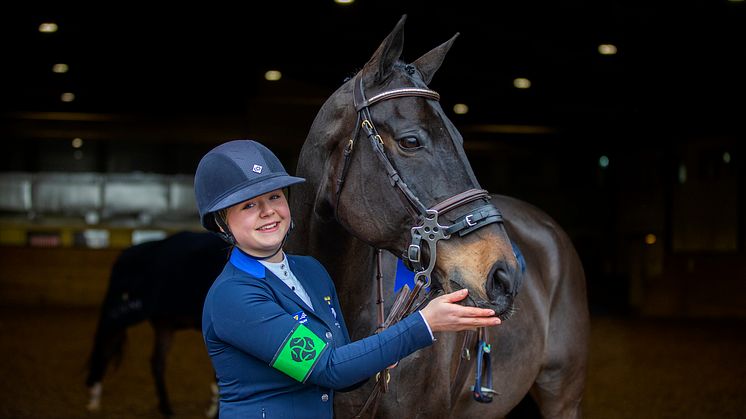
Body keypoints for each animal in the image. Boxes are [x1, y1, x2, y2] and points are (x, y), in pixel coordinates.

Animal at [83, 231, 227, 418]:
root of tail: (127, 254)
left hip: (163, 325)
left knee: (156, 362)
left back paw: (166, 408)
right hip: (123, 311)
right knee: (106, 340)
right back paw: (94, 395)